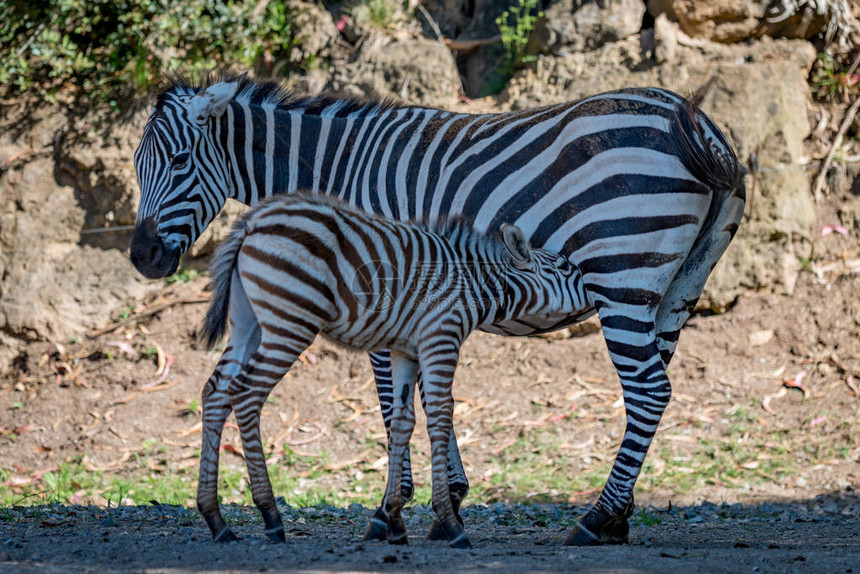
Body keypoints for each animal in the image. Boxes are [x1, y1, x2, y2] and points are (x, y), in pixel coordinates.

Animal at [197, 194, 588, 548]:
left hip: (248, 323)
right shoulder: (440, 338)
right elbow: (440, 418)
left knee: (215, 392)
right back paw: (270, 515)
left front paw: (395, 521)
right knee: (247, 395)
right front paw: (449, 522)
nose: (597, 296)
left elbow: (402, 421)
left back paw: (217, 521)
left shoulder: (405, 350)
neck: (473, 283)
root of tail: (252, 222)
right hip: (290, 322)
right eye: (566, 269)